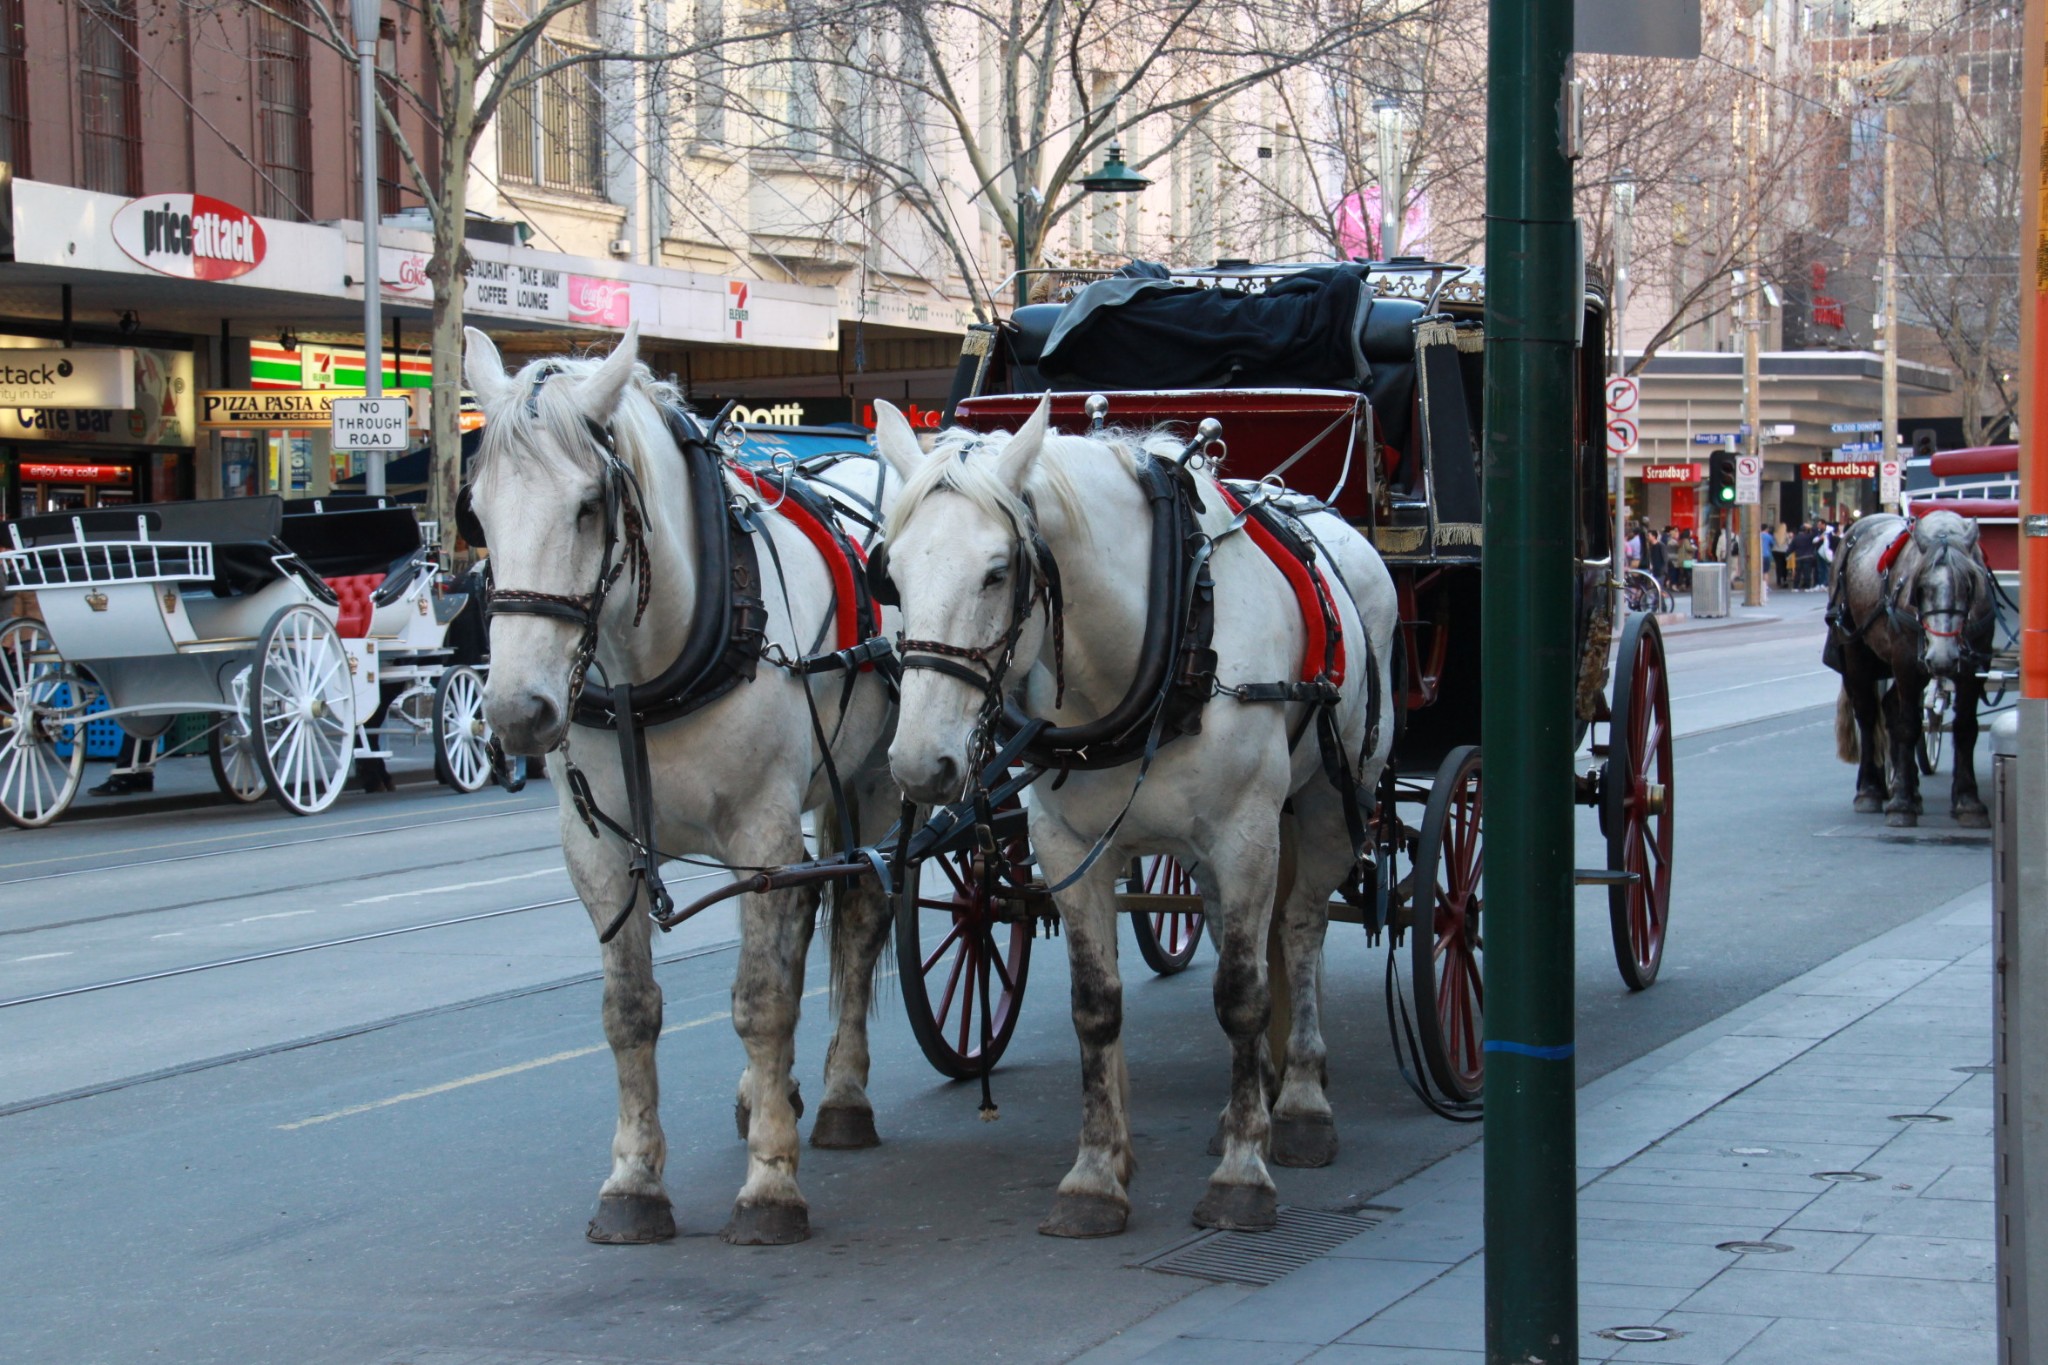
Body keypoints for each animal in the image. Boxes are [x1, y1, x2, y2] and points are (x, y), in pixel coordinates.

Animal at [475, 323, 909, 1252]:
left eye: (588, 506)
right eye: (478, 512)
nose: (518, 711)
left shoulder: (759, 833)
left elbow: (761, 1000)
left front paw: (771, 1185)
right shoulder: (599, 850)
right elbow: (631, 1010)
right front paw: (635, 1180)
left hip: (874, 780)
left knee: (858, 918)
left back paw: (841, 1095)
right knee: (809, 917)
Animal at [872, 394, 1400, 1236]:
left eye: (997, 571)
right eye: (889, 575)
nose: (923, 764)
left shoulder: (1246, 833)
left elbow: (1242, 993)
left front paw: (1243, 1171)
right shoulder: (1068, 846)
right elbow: (1097, 1005)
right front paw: (1095, 1174)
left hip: (1325, 801)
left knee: (1301, 928)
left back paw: (1300, 1099)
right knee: (1234, 928)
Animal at [1835, 509, 1990, 834]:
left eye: (1969, 585)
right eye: (1919, 589)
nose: (1941, 657)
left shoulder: (1974, 666)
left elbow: (1965, 728)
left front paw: (1968, 801)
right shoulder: (1906, 663)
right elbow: (1909, 726)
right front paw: (1902, 806)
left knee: (1889, 708)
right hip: (1856, 653)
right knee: (1868, 715)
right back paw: (1871, 790)